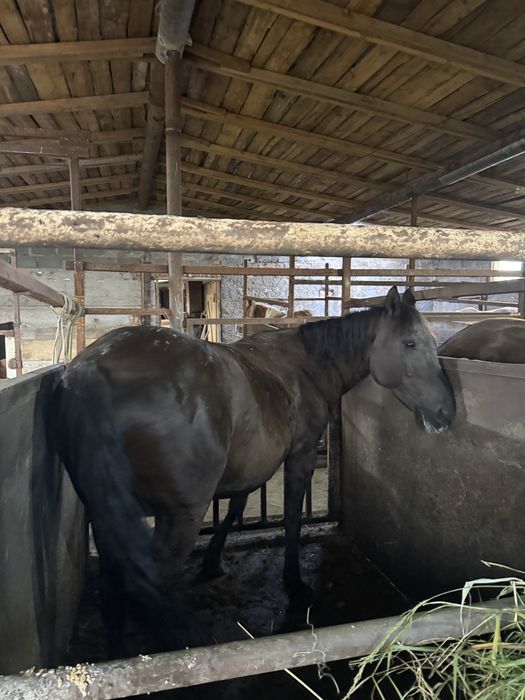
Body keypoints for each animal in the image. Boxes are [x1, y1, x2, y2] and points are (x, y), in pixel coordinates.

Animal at [50, 286, 455, 654]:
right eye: (410, 343)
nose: (446, 412)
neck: (307, 366)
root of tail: (93, 369)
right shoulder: (300, 455)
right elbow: (291, 516)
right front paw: (294, 583)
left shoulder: (250, 466)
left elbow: (236, 508)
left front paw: (212, 563)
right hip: (178, 516)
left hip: (106, 516)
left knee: (113, 590)